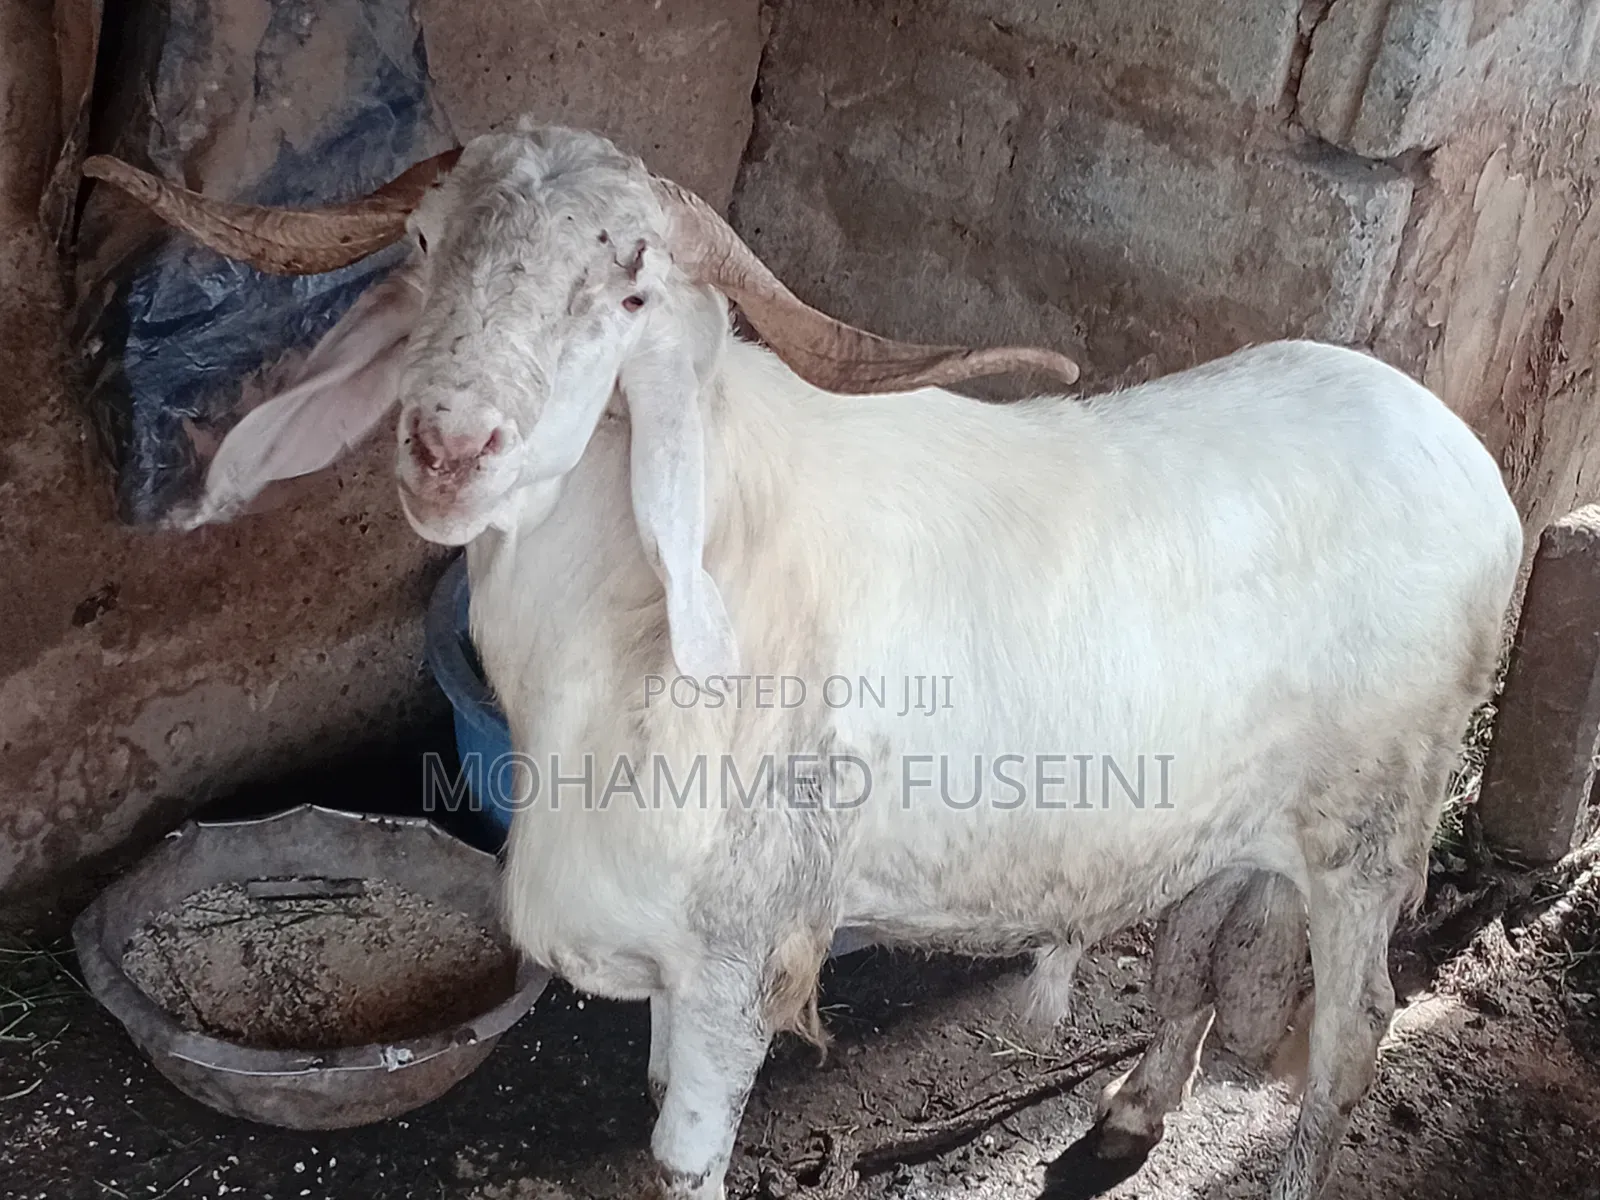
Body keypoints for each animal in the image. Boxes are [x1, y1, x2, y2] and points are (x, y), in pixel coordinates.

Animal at [84, 119, 1523, 1200]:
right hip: (1235, 815)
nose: (448, 447)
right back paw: (1127, 1114)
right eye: (427, 247)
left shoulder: (742, 944)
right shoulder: (676, 958)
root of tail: (1463, 456)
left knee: (1352, 1030)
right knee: (1193, 950)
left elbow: (684, 1156)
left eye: (628, 292)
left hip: (1373, 823)